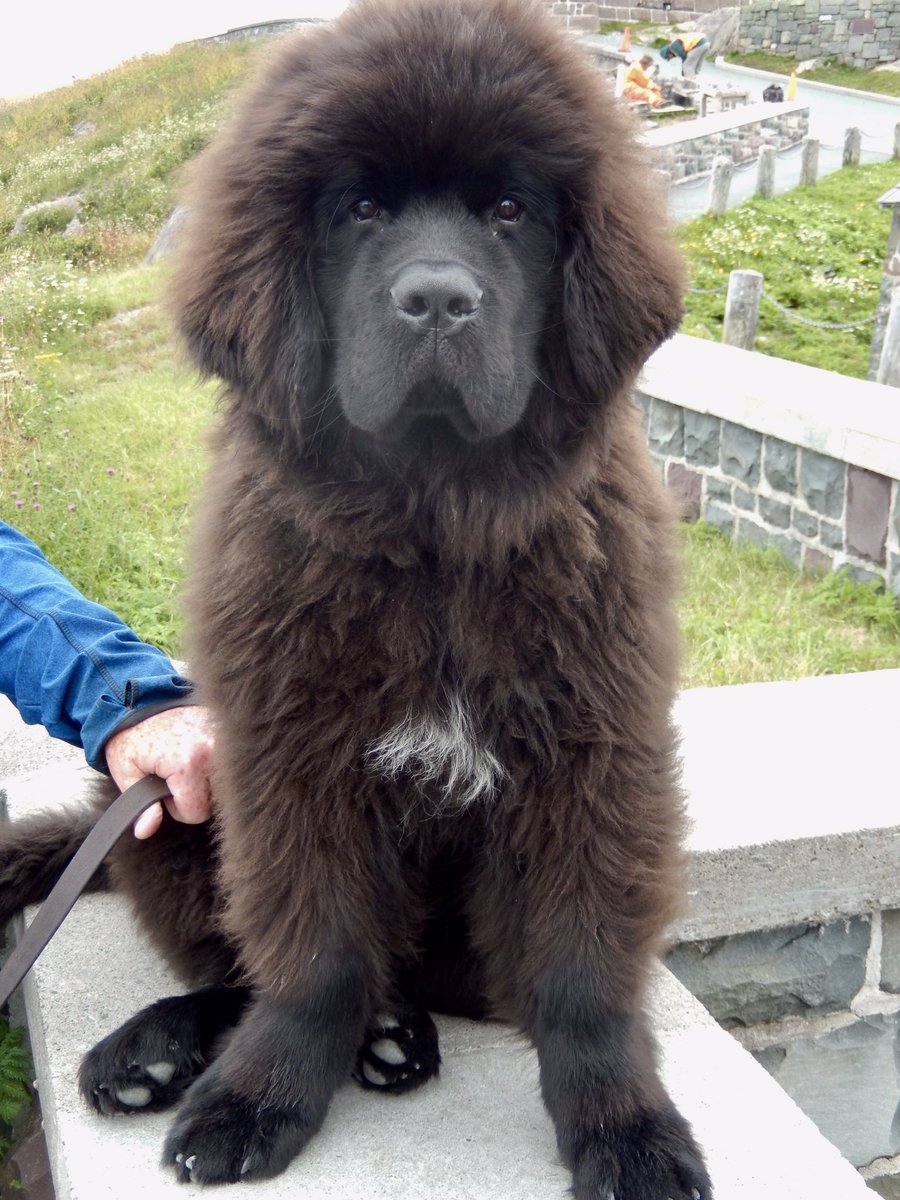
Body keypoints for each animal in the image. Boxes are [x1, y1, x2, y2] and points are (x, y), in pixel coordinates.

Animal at [0, 0, 710, 1195]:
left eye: (510, 209)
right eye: (363, 209)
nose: (437, 301)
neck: (431, 529)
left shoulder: (594, 755)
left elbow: (581, 977)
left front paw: (630, 1132)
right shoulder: (289, 757)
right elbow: (313, 955)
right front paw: (258, 1100)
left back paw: (387, 1037)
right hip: (162, 798)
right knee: (254, 965)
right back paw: (166, 1052)